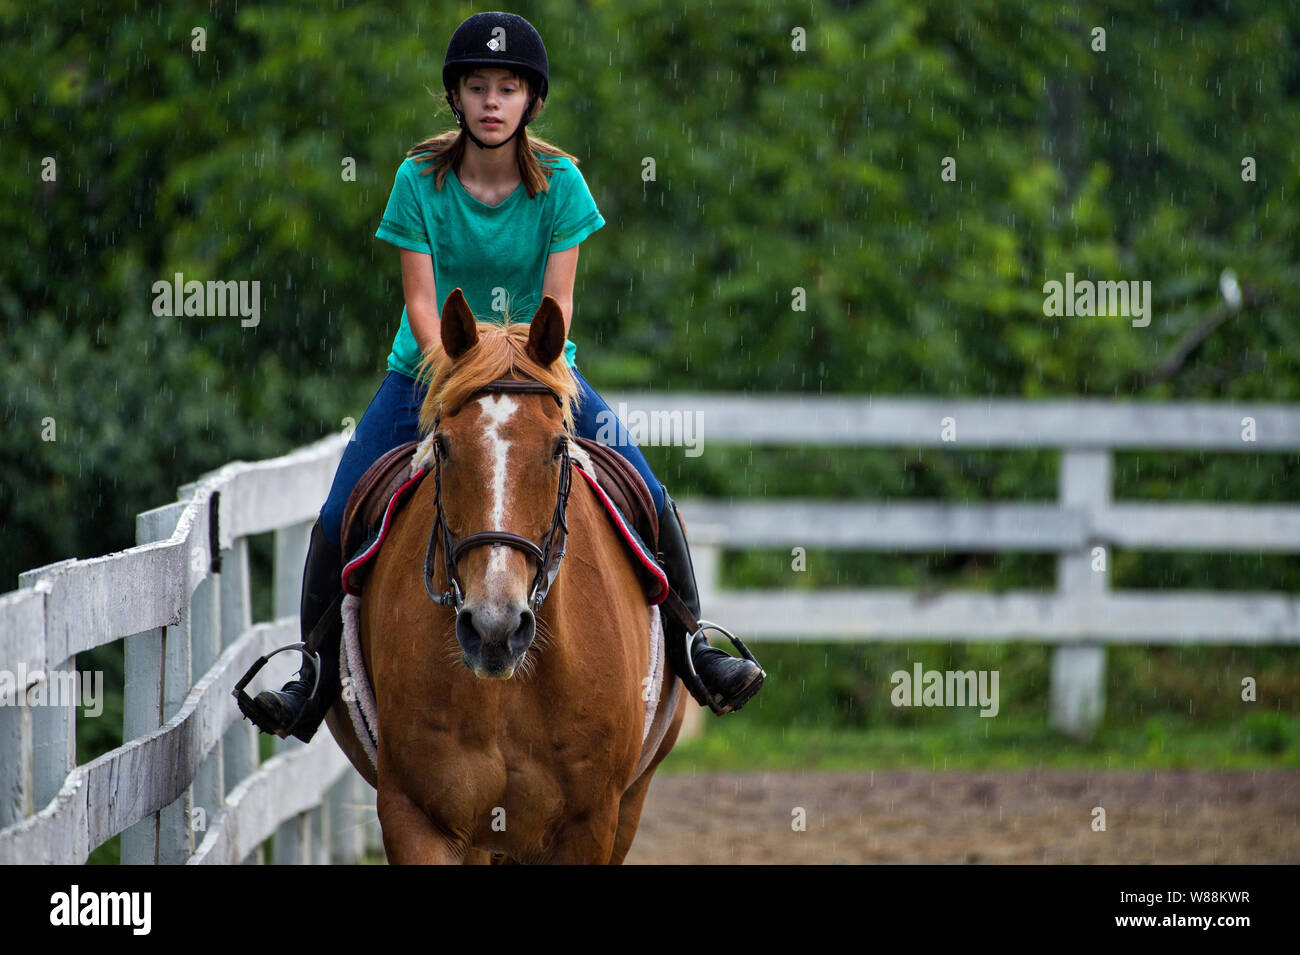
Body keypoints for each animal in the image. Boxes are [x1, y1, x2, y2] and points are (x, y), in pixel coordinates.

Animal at [321, 287, 686, 862]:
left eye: (558, 447)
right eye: (443, 446)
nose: (495, 627)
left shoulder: (592, 825)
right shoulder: (416, 817)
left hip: (629, 803)